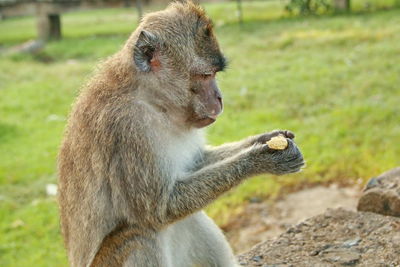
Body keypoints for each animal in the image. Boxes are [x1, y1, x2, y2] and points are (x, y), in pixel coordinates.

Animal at [57, 1, 304, 266]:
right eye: (205, 75)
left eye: (215, 74)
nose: (220, 98)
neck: (153, 100)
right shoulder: (128, 128)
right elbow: (159, 210)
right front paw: (259, 159)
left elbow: (195, 164)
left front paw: (263, 140)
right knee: (141, 234)